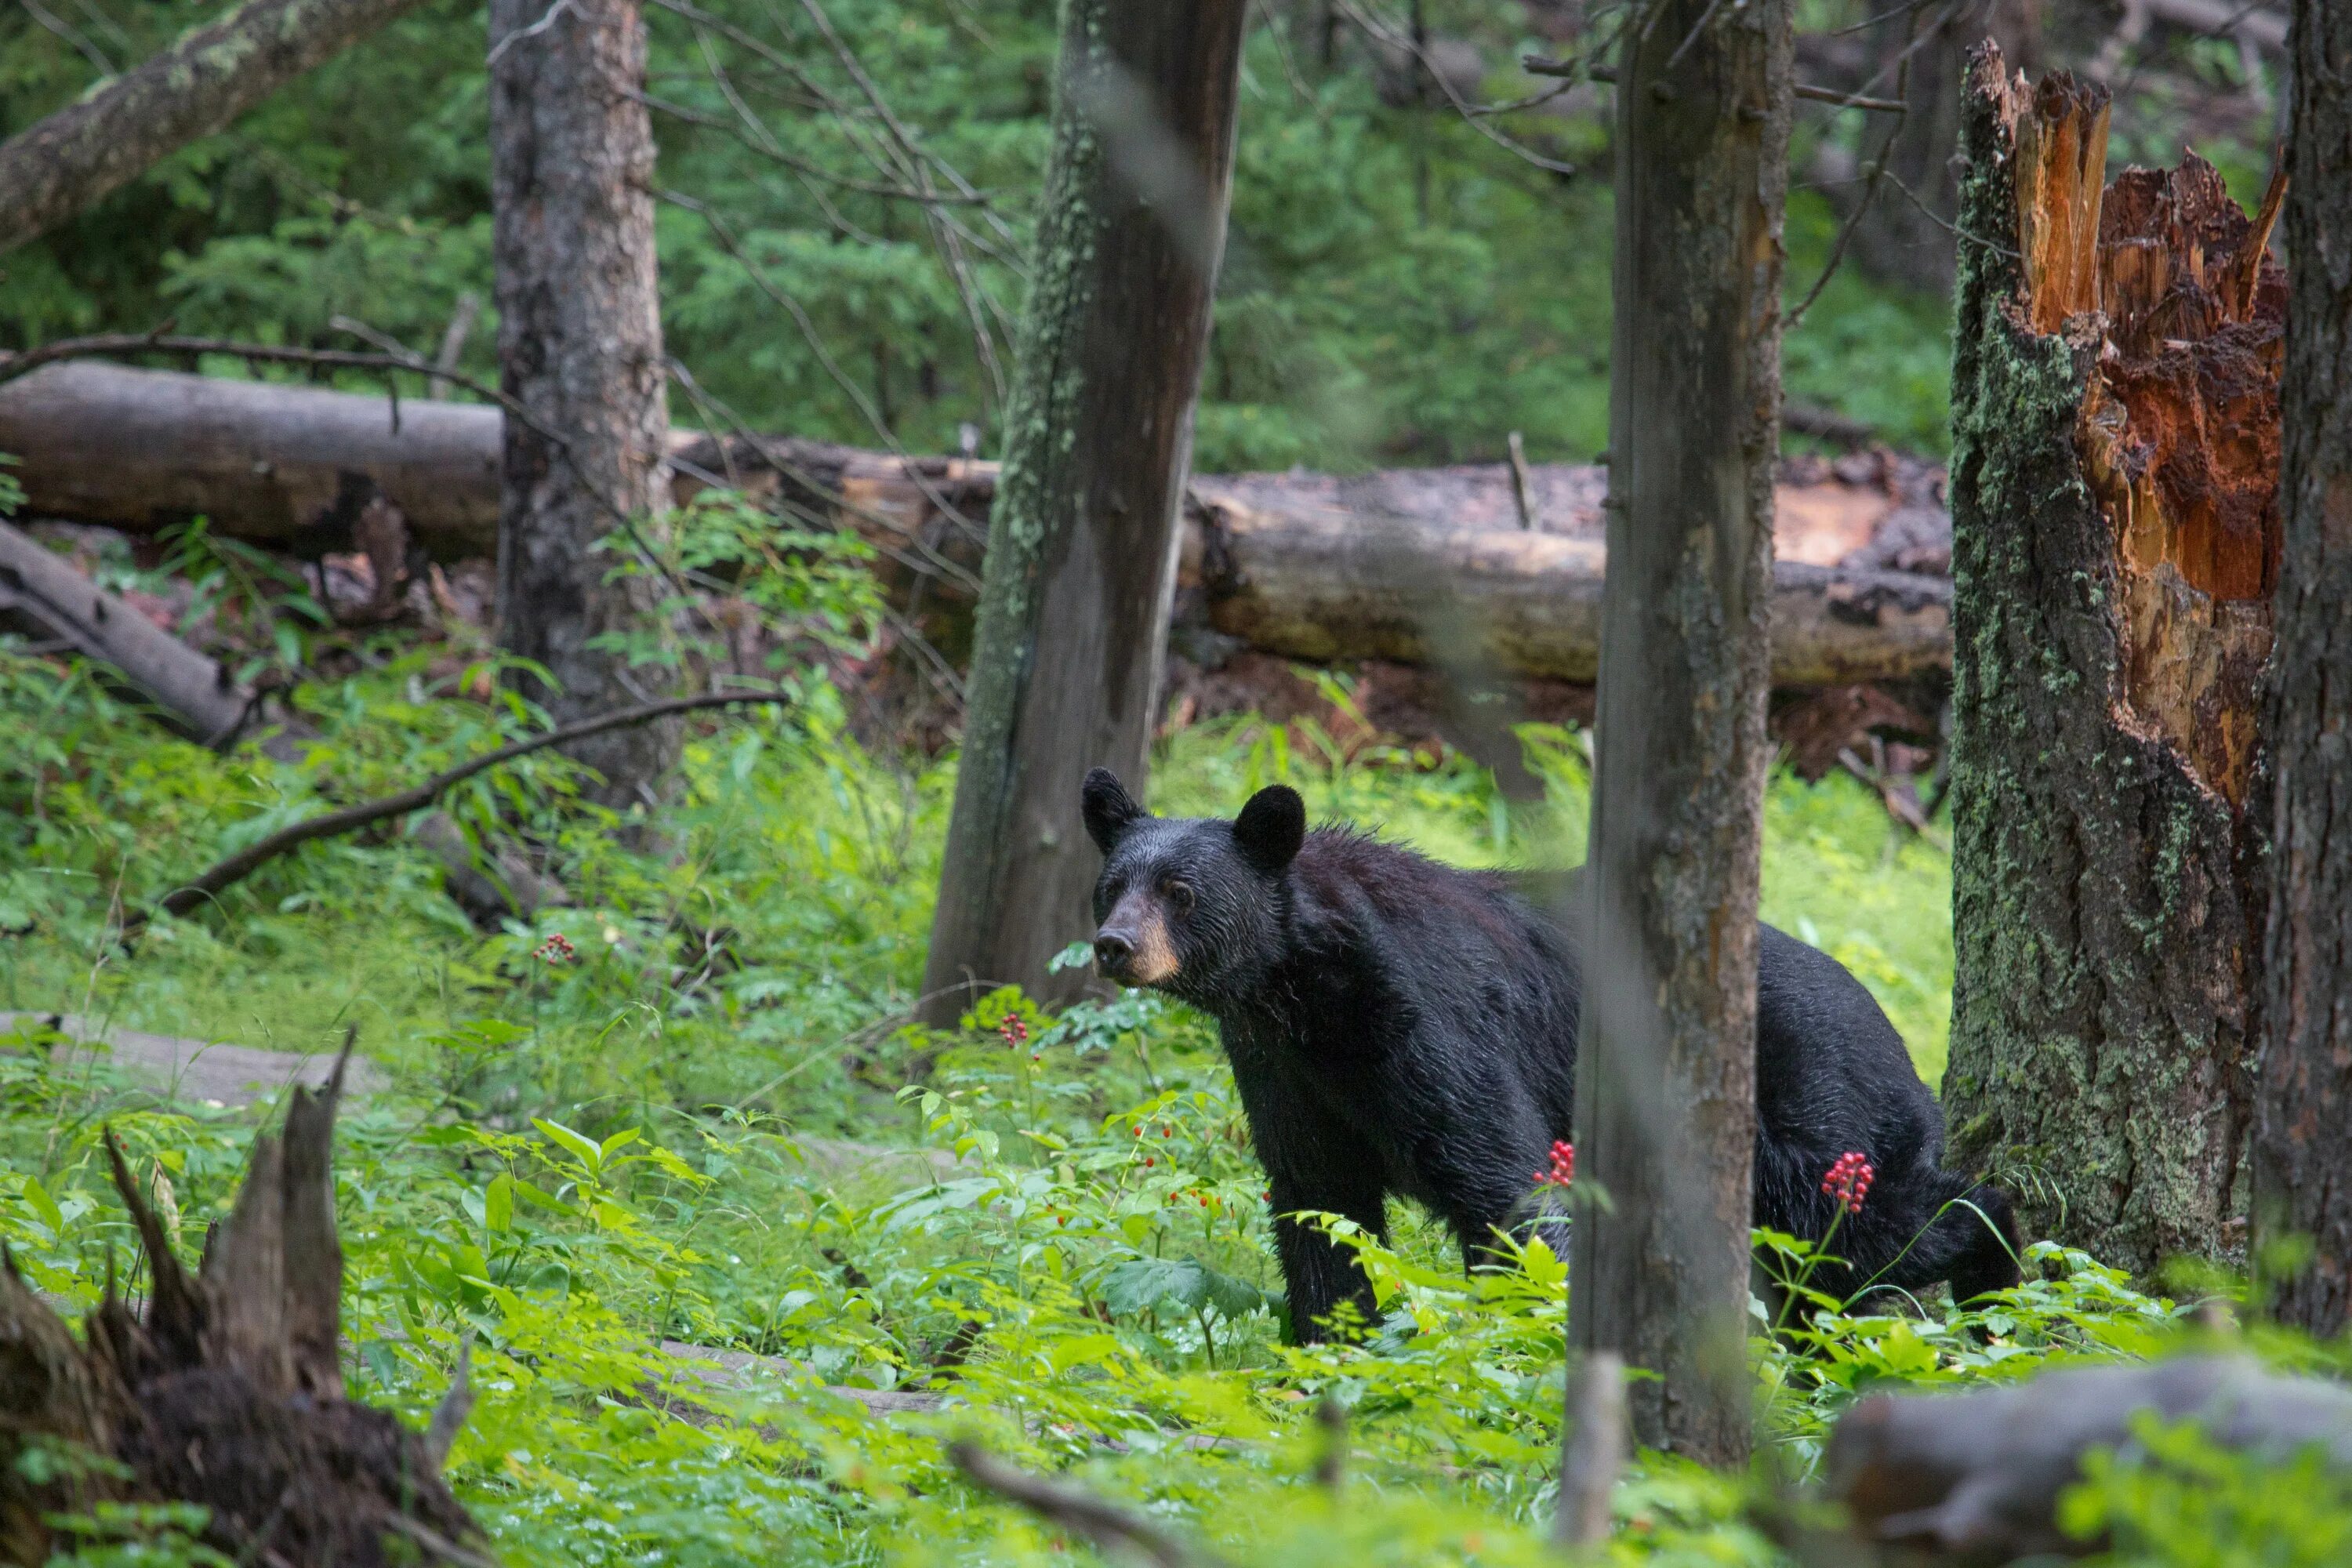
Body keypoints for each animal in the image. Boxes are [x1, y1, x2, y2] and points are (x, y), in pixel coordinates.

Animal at [1082, 766, 2023, 1345]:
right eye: (1112, 885)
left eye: (1181, 891)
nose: (1114, 945)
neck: (1307, 986)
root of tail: (1897, 1040)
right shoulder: (1284, 1070)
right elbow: (1320, 1209)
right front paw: (1329, 1349)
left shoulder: (1434, 1025)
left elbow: (1508, 1183)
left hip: (1816, 1117)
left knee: (1871, 1233)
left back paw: (2000, 1281)